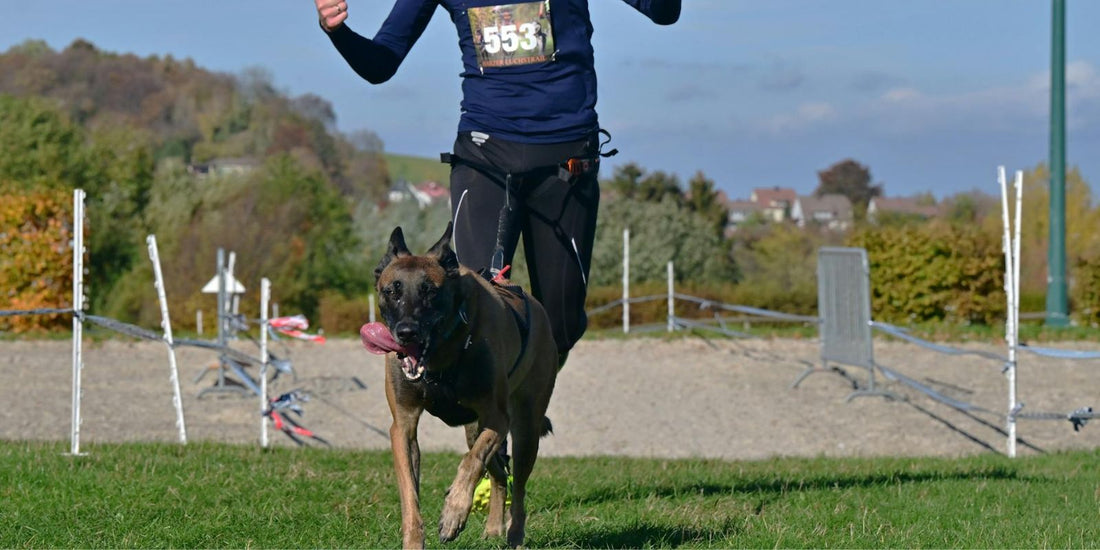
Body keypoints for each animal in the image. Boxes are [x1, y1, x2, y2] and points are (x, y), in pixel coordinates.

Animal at [360, 223, 558, 550]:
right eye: (392, 291)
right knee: (499, 474)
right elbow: (410, 495)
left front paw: (453, 513)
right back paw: (493, 528)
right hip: (473, 429)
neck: (441, 357)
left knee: (517, 487)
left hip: (526, 429)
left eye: (430, 290)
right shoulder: (403, 426)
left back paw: (514, 534)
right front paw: (415, 540)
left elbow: (471, 462)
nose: (406, 332)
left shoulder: (497, 419)